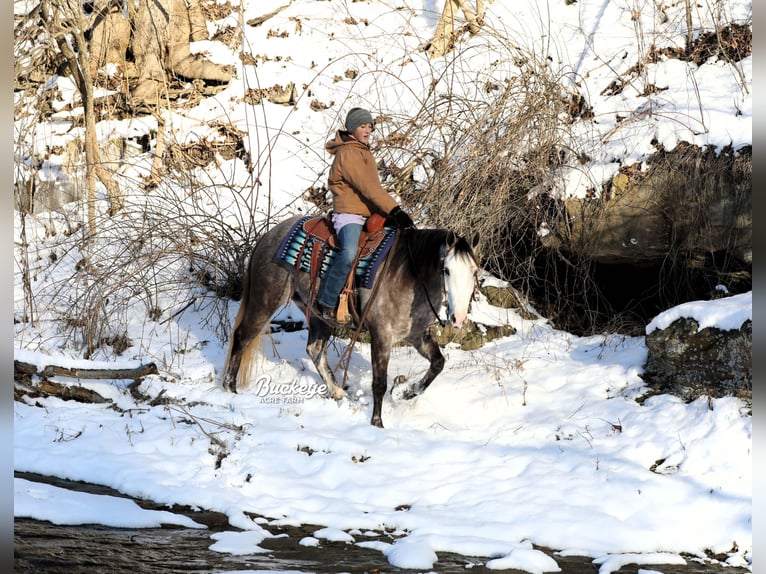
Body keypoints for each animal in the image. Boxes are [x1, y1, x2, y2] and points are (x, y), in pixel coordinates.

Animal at [222, 215, 480, 428]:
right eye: (446, 270)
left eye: (475, 271)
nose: (458, 318)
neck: (409, 274)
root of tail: (269, 236)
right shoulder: (381, 336)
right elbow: (379, 383)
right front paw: (377, 423)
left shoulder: (418, 335)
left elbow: (438, 363)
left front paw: (405, 392)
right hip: (266, 299)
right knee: (243, 336)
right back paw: (229, 387)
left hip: (316, 313)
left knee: (315, 350)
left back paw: (337, 391)